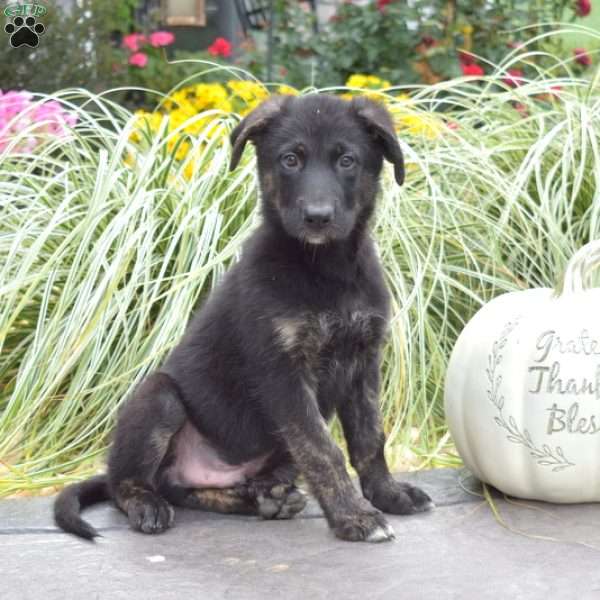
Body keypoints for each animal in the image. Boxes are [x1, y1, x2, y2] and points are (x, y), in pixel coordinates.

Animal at [54, 92, 434, 544]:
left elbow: (369, 439)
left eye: (347, 160)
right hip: (158, 397)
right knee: (127, 483)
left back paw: (266, 500)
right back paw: (147, 503)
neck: (326, 269)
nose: (318, 217)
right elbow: (323, 450)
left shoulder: (364, 362)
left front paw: (388, 494)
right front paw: (354, 515)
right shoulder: (284, 373)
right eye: (290, 160)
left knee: (191, 489)